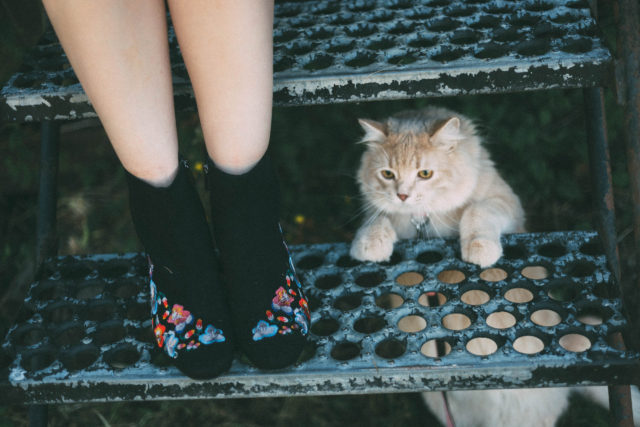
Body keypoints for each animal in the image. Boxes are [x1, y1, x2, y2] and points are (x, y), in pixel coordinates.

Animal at [350, 107, 524, 268]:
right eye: (387, 174)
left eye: (425, 174)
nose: (402, 196)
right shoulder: (375, 210)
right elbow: (376, 219)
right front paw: (370, 242)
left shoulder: (507, 202)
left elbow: (477, 210)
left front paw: (480, 246)